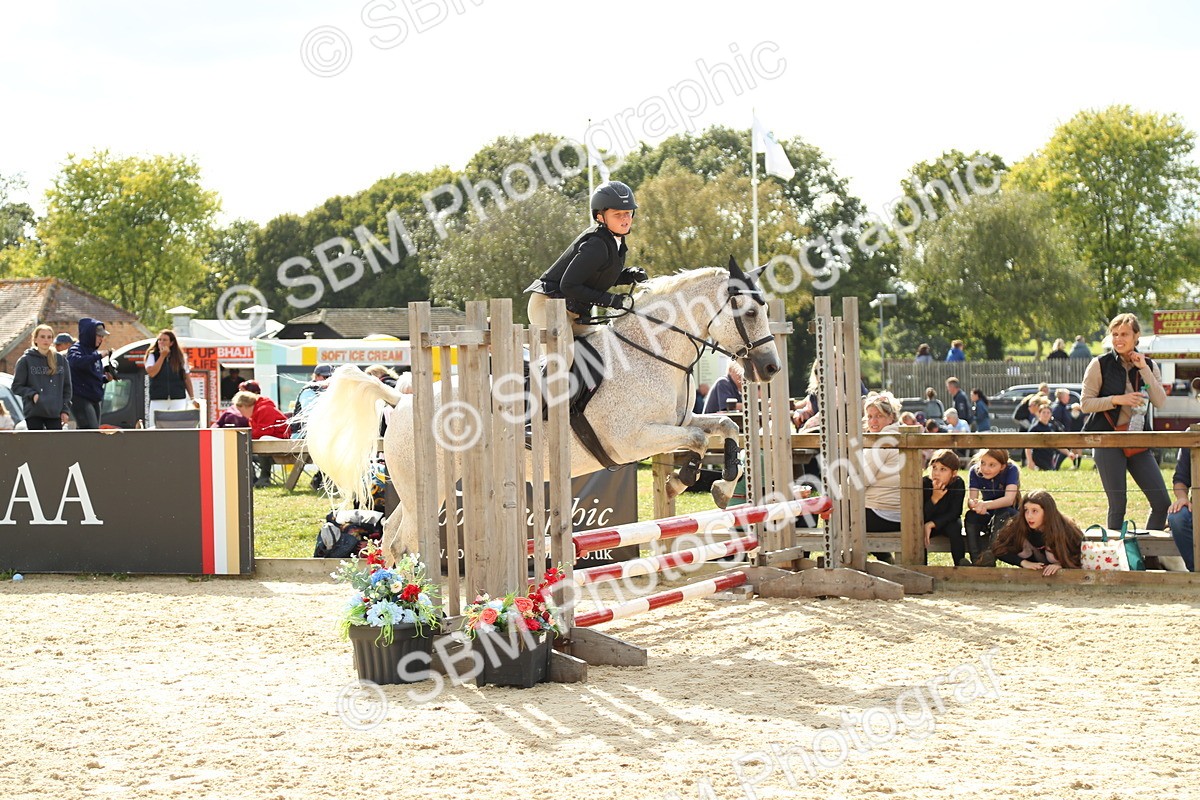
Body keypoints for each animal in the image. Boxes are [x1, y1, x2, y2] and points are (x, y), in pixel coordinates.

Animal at [305, 264, 784, 564]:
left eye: (764, 309)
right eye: (750, 311)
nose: (771, 369)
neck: (651, 352)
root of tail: (400, 400)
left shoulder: (678, 422)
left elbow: (725, 427)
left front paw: (721, 486)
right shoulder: (633, 439)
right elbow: (700, 441)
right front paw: (680, 479)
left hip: (418, 486)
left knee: (391, 537)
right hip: (431, 484)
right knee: (407, 539)